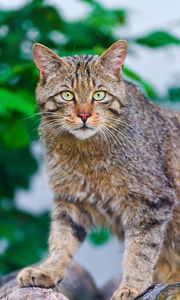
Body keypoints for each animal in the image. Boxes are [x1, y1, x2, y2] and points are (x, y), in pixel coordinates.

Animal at [17, 40, 180, 300]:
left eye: (99, 95)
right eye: (67, 95)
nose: (84, 114)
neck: (86, 154)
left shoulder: (153, 201)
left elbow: (140, 251)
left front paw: (133, 286)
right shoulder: (70, 199)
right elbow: (61, 240)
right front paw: (48, 270)